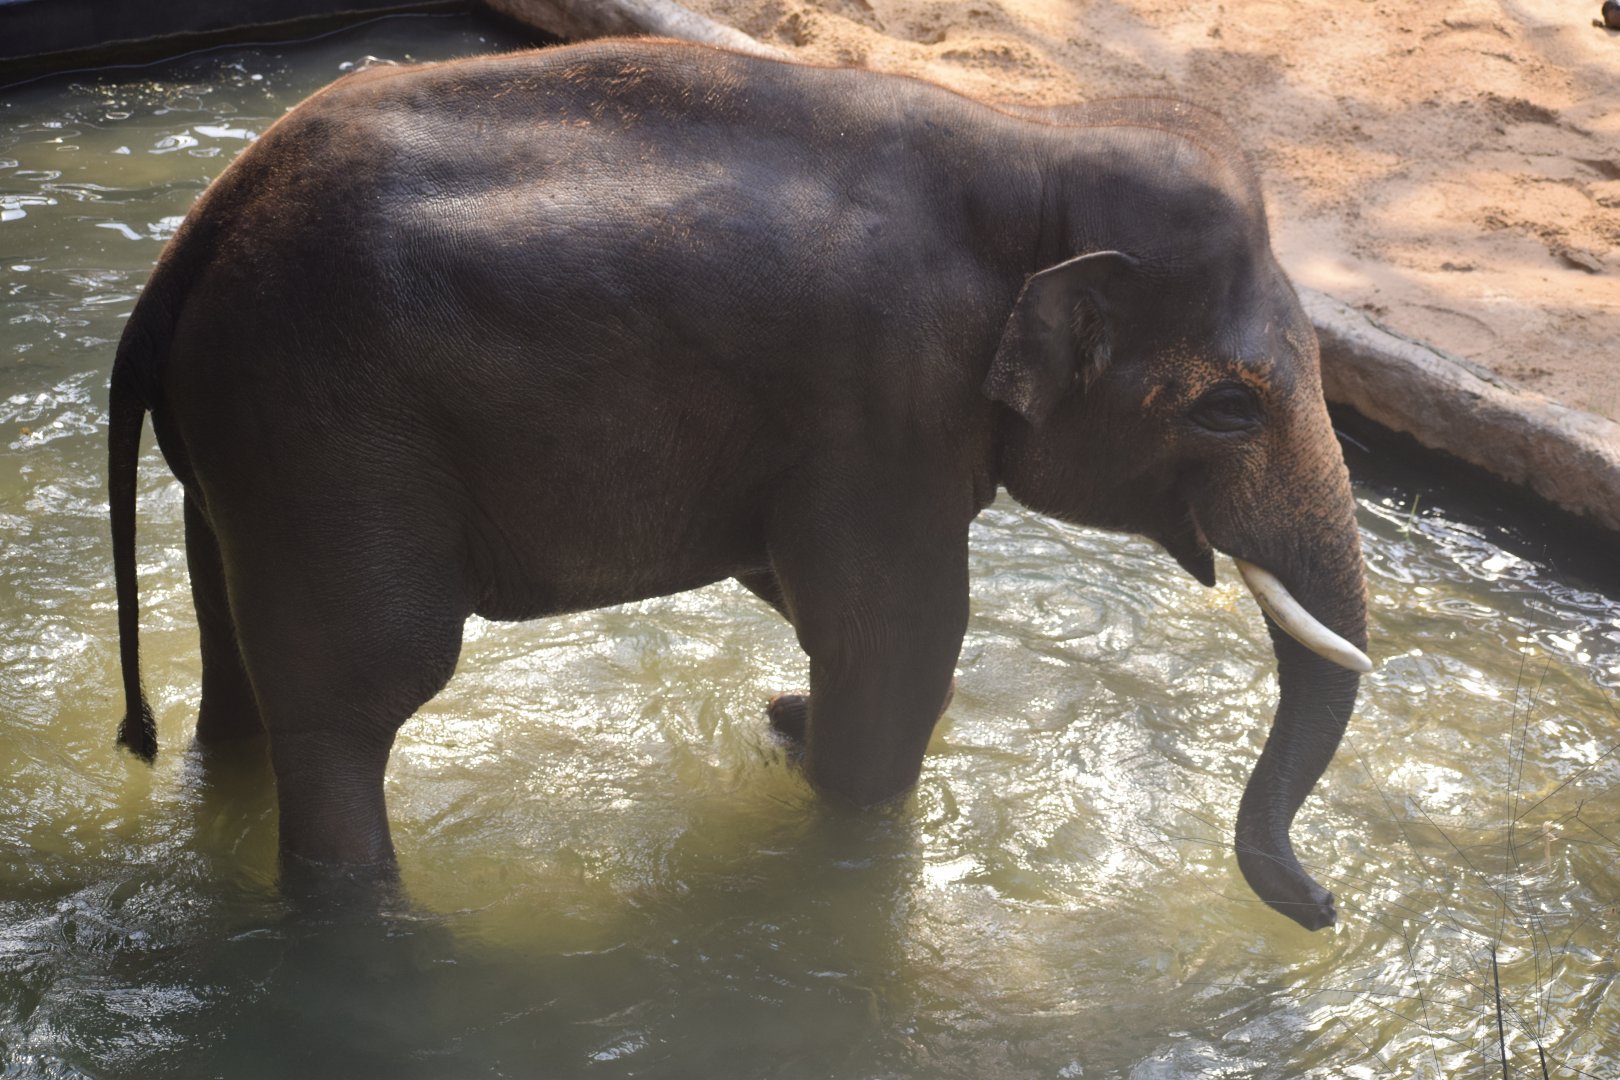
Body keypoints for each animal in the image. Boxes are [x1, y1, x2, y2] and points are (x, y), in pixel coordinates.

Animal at [107, 39, 1372, 930]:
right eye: (1229, 409)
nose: (1323, 905)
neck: (1035, 148)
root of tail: (185, 252)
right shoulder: (885, 398)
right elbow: (898, 643)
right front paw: (838, 816)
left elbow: (801, 589)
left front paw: (788, 722)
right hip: (331, 438)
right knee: (358, 695)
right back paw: (383, 926)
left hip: (247, 454)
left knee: (242, 667)